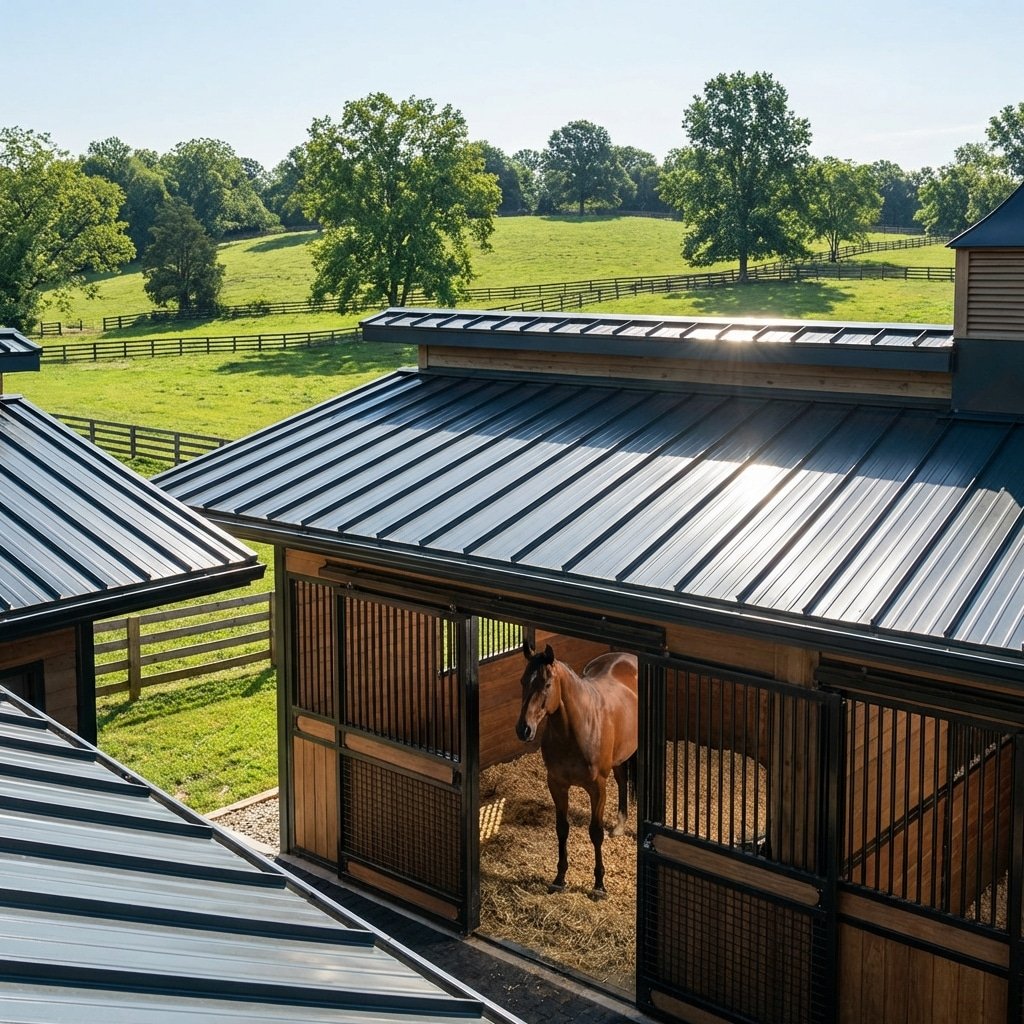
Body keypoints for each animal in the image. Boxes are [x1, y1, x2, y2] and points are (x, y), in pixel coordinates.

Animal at [515, 640, 638, 898]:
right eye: (522, 681)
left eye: (547, 684)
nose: (524, 729)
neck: (576, 730)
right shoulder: (557, 784)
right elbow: (562, 828)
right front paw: (559, 878)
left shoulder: (597, 788)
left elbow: (595, 832)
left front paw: (599, 885)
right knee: (622, 781)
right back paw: (620, 825)